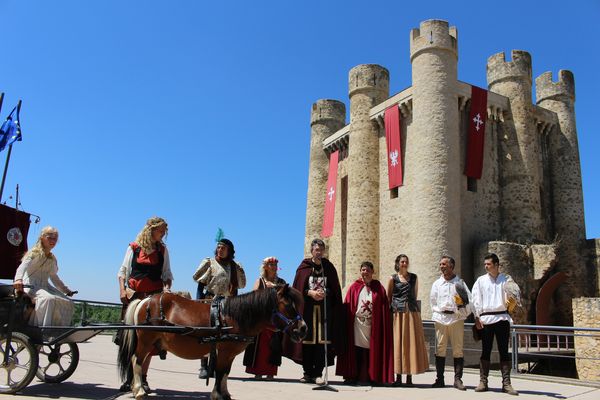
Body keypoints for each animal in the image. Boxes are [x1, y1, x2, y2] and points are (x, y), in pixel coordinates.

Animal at [117, 284, 308, 400]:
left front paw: (225, 393)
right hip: (145, 342)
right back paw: (139, 390)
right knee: (136, 361)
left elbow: (225, 373)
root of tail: (145, 300)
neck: (232, 317)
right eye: (288, 305)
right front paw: (218, 394)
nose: (303, 329)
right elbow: (220, 371)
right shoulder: (224, 351)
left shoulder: (229, 354)